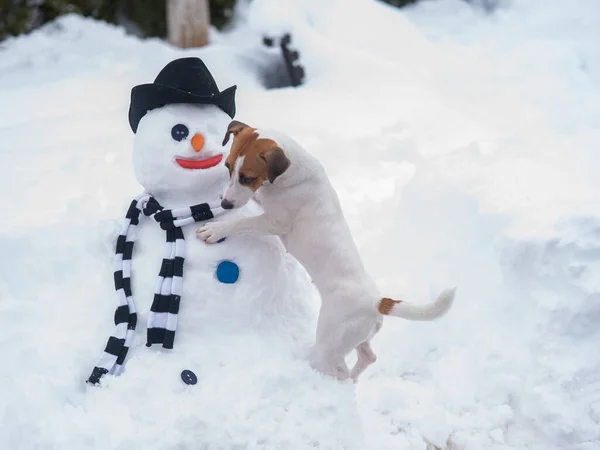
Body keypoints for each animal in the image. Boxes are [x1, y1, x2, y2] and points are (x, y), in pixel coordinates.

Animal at [197, 121, 454, 382]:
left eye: (248, 177)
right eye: (227, 166)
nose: (226, 203)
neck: (292, 175)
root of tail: (376, 302)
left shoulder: (274, 222)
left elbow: (242, 223)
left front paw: (215, 229)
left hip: (331, 342)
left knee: (339, 370)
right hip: (357, 338)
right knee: (368, 357)